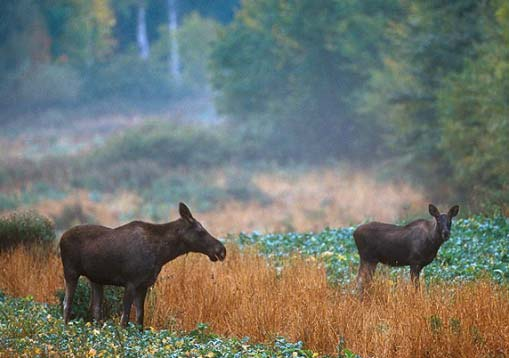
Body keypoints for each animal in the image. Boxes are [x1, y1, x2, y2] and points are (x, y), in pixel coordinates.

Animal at [60, 201, 226, 328]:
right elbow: (125, 320)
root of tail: (61, 238)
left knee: (95, 310)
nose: (221, 250)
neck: (162, 254)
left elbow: (140, 319)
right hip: (70, 272)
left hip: (96, 279)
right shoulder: (131, 282)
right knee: (67, 304)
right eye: (200, 231)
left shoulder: (144, 285)